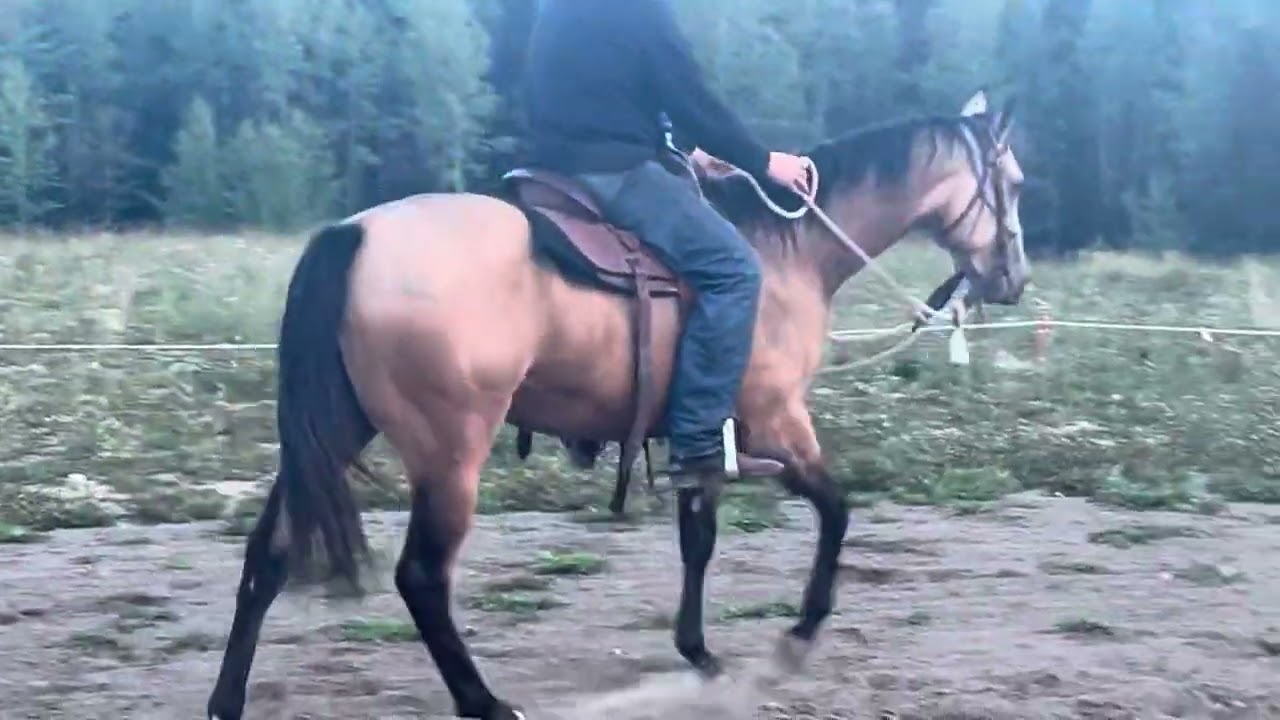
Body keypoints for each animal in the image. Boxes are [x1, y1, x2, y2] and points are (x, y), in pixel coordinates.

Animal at [205, 88, 1028, 720]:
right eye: (1015, 183)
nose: (1012, 280)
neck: (783, 252)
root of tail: (354, 234)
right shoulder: (776, 420)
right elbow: (836, 508)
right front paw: (798, 635)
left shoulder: (702, 436)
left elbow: (699, 540)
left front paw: (699, 652)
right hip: (449, 453)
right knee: (422, 578)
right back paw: (485, 703)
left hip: (337, 429)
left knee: (268, 553)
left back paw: (227, 701)